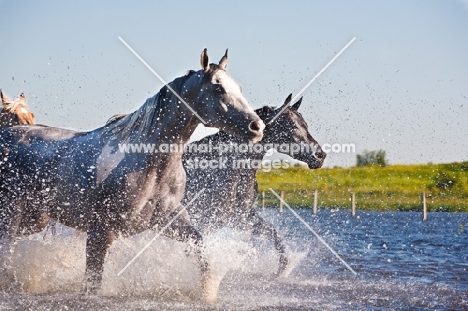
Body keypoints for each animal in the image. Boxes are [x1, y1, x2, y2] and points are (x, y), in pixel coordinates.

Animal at [0, 48, 264, 302]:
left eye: (238, 88)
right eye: (218, 88)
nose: (257, 127)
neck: (152, 166)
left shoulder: (169, 221)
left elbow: (200, 249)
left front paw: (207, 292)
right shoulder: (100, 231)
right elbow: (92, 284)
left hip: (34, 220)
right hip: (11, 216)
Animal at [182, 94, 326, 278]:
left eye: (305, 125)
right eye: (291, 125)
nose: (320, 155)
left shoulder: (240, 218)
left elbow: (273, 233)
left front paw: (281, 270)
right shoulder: (205, 220)